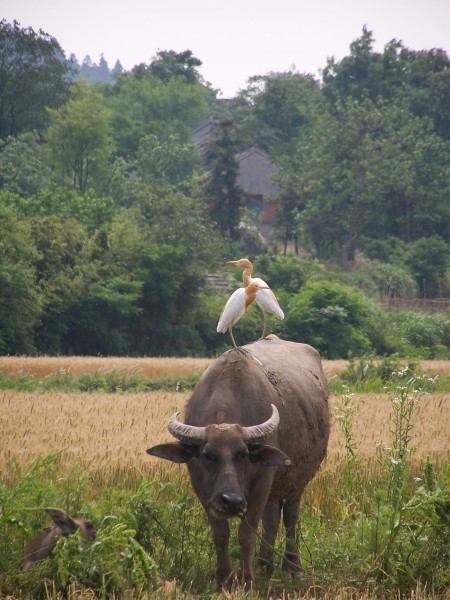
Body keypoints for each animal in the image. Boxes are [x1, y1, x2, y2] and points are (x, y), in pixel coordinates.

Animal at [148, 338, 326, 592]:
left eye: (243, 454)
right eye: (207, 455)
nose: (231, 501)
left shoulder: (260, 486)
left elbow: (246, 534)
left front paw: (247, 580)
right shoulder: (205, 492)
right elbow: (220, 534)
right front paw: (223, 579)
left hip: (297, 479)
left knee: (291, 517)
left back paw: (292, 568)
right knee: (272, 518)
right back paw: (264, 565)